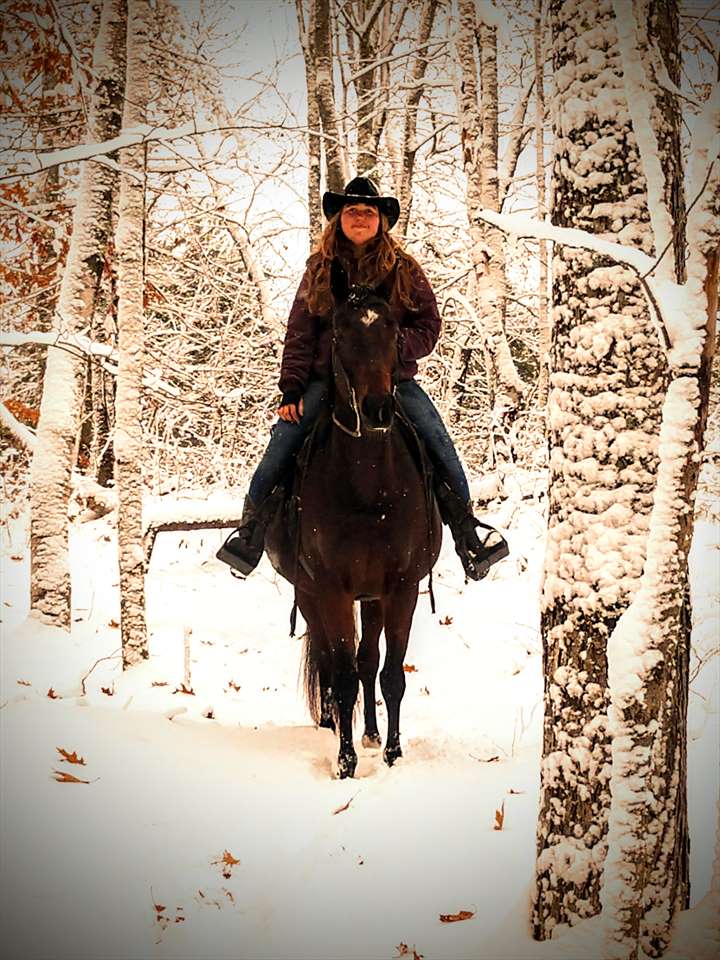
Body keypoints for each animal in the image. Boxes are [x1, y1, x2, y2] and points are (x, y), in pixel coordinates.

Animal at [265, 258, 442, 778]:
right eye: (340, 332)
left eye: (394, 331)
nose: (378, 409)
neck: (368, 486)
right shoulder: (331, 590)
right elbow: (340, 674)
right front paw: (344, 763)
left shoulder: (400, 588)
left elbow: (389, 673)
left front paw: (392, 753)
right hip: (310, 595)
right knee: (329, 662)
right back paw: (333, 726)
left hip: (373, 597)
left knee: (368, 662)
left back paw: (369, 733)